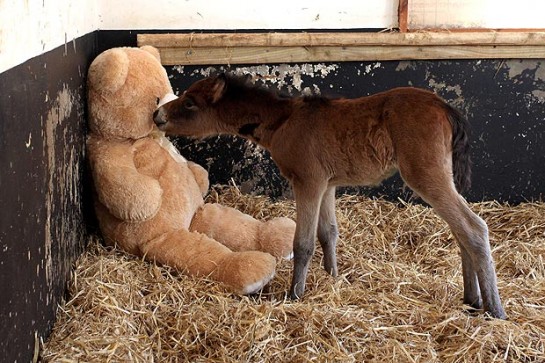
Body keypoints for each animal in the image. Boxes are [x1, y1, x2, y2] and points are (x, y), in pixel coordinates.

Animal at [153, 74, 506, 318]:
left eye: (190, 102)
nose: (157, 115)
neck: (283, 121)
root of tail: (446, 108)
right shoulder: (327, 183)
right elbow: (328, 232)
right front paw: (333, 277)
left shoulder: (307, 181)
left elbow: (303, 243)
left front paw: (295, 294)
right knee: (460, 231)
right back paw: (472, 299)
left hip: (426, 174)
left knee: (474, 228)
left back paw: (494, 309)